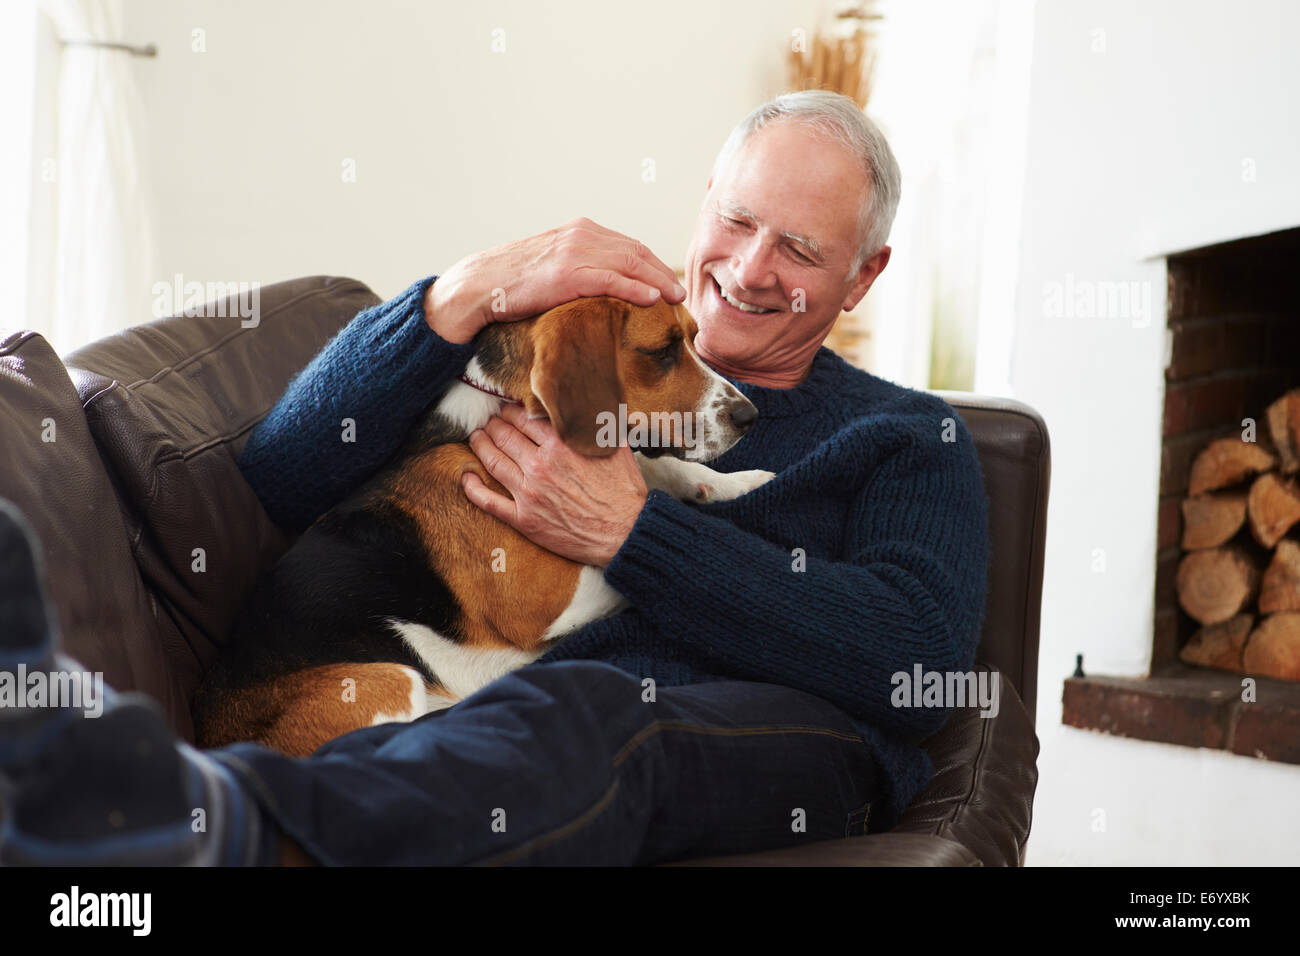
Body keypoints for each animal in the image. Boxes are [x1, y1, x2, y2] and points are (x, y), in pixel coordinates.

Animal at [195, 295, 769, 759]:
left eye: (693, 338)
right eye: (663, 351)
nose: (749, 416)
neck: (500, 410)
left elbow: (660, 475)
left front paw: (737, 483)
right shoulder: (542, 600)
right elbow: (622, 567)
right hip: (383, 678)